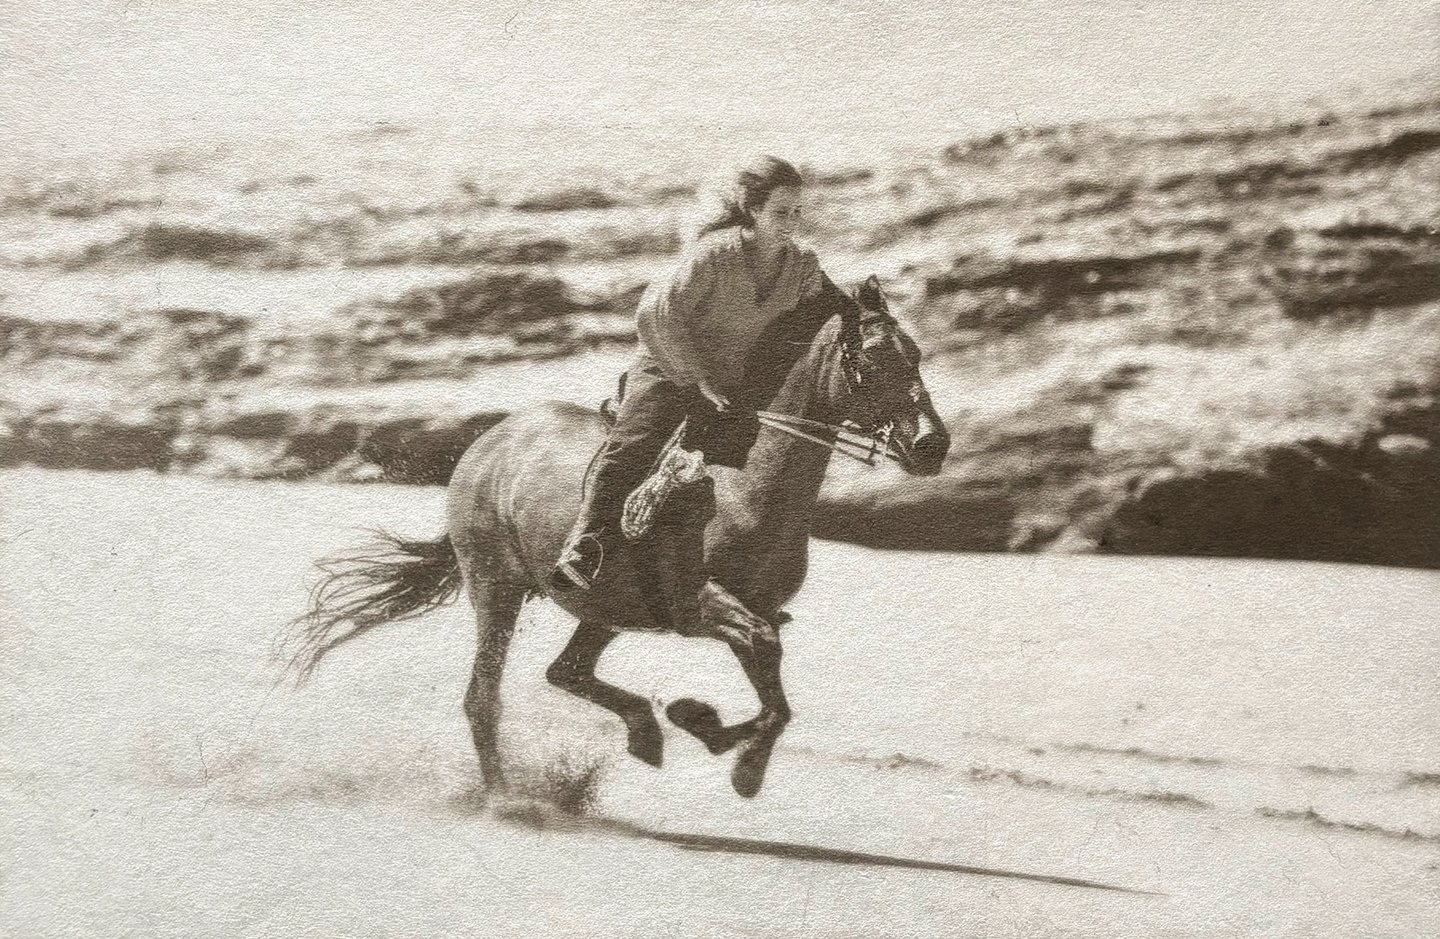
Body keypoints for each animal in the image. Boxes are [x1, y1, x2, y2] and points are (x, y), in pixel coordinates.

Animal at [283, 275, 951, 799]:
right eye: (870, 360)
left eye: (915, 354)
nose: (931, 445)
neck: (743, 485)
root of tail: (487, 444)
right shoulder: (701, 603)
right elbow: (767, 667)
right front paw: (734, 757)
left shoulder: (751, 609)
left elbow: (775, 696)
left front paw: (707, 730)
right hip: (497, 590)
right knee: (483, 698)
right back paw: (506, 798)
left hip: (601, 607)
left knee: (566, 672)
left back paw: (645, 733)